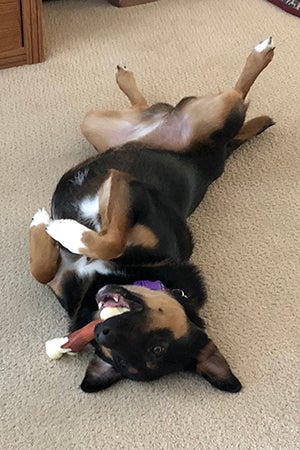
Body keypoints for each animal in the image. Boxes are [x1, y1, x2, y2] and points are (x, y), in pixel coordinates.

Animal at [29, 37, 276, 392]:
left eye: (155, 349)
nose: (103, 331)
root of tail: (215, 156)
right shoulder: (129, 193)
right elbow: (47, 267)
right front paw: (50, 223)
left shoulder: (130, 188)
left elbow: (108, 240)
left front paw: (62, 229)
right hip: (99, 124)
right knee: (226, 98)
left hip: (208, 116)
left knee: (236, 100)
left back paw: (259, 54)